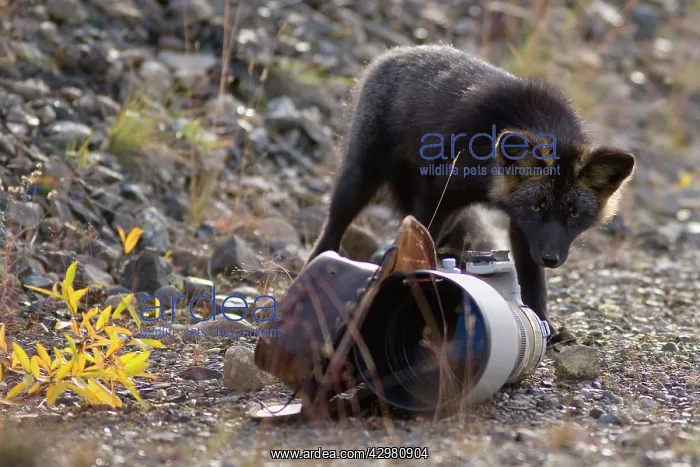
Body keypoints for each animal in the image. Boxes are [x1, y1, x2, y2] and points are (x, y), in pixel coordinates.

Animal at [304, 44, 635, 343]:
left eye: (573, 213)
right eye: (539, 207)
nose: (551, 259)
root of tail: (393, 54)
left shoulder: (522, 227)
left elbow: (533, 281)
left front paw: (543, 326)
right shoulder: (437, 196)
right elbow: (421, 244)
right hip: (360, 180)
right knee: (333, 227)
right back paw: (319, 268)